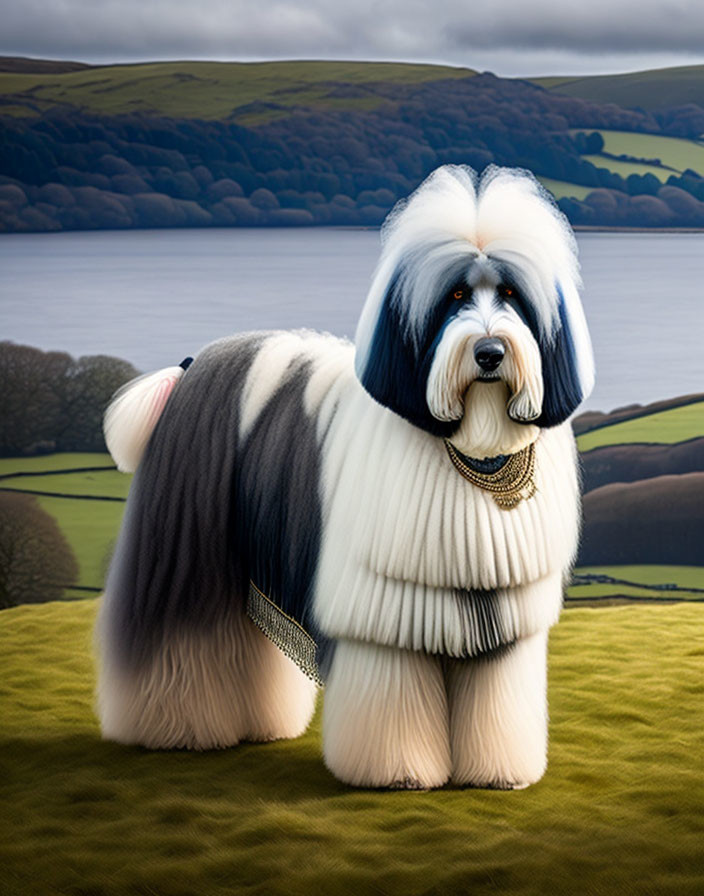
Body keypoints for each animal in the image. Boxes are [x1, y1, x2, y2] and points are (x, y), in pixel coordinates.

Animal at [96, 164, 592, 788]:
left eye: (511, 295)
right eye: (454, 297)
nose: (488, 352)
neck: (469, 447)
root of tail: (190, 368)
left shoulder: (502, 622)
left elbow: (495, 703)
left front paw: (498, 773)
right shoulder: (384, 620)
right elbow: (392, 702)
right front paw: (398, 774)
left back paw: (260, 725)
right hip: (188, 552)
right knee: (180, 638)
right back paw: (175, 731)